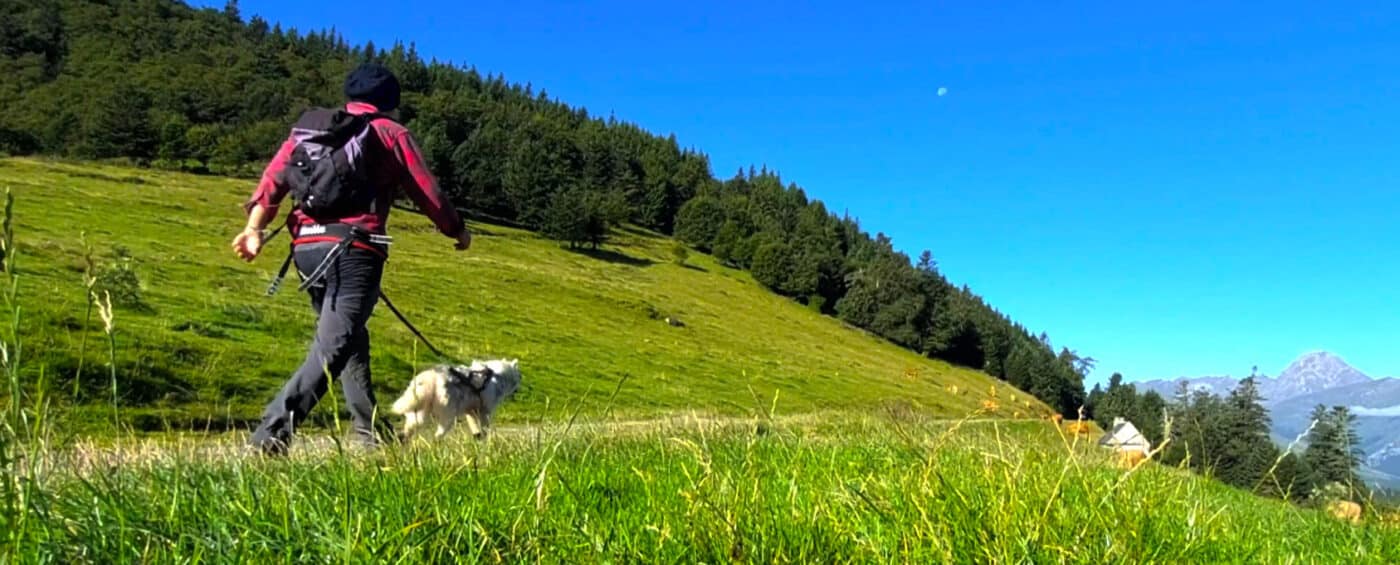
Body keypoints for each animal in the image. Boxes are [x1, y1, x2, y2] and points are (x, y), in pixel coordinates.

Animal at [392, 358, 523, 441]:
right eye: (520, 376)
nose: (519, 389)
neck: (496, 375)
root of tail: (431, 377)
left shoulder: (471, 412)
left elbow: (476, 430)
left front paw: (478, 440)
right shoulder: (485, 412)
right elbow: (485, 429)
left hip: (418, 417)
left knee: (405, 434)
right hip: (448, 418)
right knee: (437, 436)